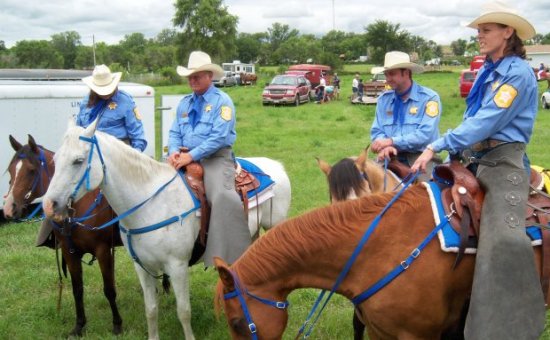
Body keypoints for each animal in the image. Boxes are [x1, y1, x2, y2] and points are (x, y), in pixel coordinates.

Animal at [3, 134, 123, 336]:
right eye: (11, 170)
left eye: (31, 170)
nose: (9, 208)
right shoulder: (70, 252)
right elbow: (77, 290)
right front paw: (79, 326)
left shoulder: (103, 250)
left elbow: (109, 289)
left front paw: (117, 324)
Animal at [43, 121, 294, 338]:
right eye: (55, 158)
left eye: (78, 160)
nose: (49, 205)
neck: (151, 203)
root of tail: (276, 166)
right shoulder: (142, 267)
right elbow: (151, 309)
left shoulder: (177, 266)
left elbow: (184, 311)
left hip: (274, 226)